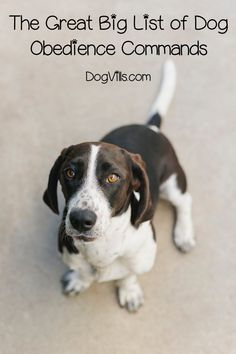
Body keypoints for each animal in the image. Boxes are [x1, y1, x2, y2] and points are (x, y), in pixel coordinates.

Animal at [42, 60, 195, 312]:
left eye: (113, 177)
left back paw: (184, 235)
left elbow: (129, 275)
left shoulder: (142, 258)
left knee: (184, 201)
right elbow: (82, 271)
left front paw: (129, 291)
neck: (101, 247)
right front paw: (79, 280)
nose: (81, 220)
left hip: (172, 182)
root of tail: (150, 128)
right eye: (70, 172)